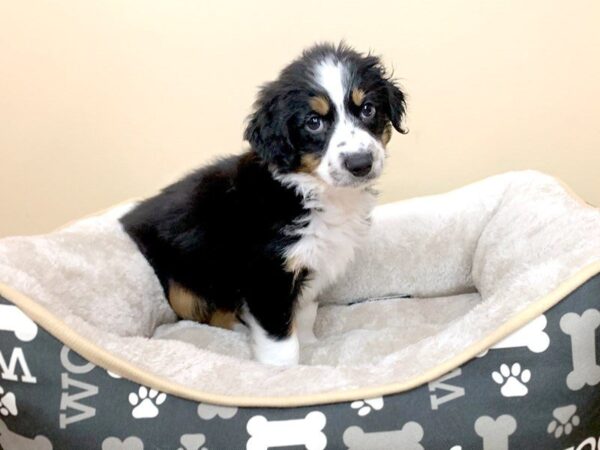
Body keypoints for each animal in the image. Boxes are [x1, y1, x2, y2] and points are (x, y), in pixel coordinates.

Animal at [119, 42, 406, 366]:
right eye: (314, 122)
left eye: (368, 109)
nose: (360, 163)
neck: (312, 191)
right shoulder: (267, 275)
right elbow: (280, 340)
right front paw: (285, 371)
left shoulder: (311, 262)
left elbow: (304, 314)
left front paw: (309, 345)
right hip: (181, 288)